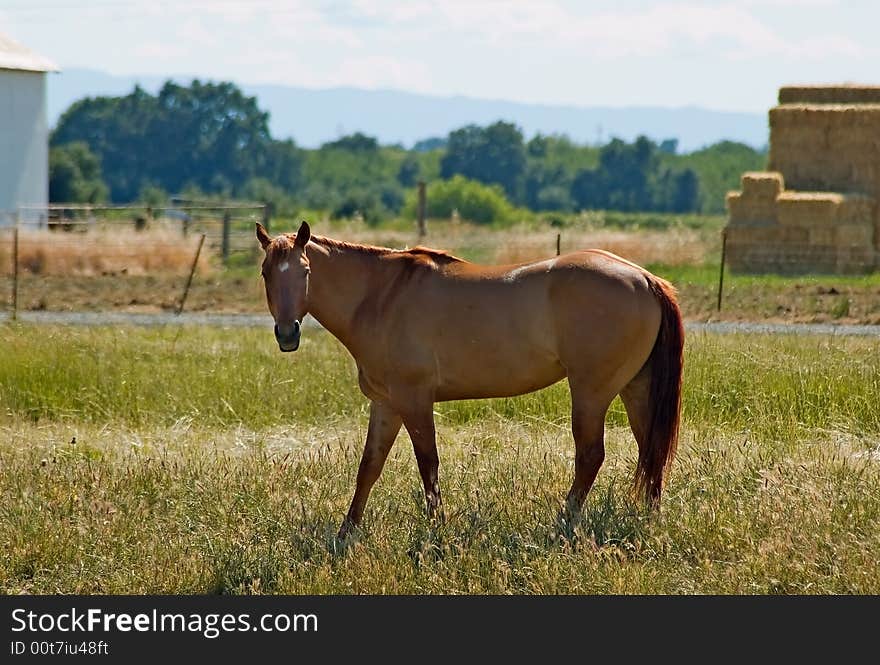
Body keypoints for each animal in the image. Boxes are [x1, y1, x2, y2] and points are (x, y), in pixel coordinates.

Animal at [254, 220, 680, 536]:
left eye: (305, 271)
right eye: (265, 272)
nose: (287, 334)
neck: (381, 297)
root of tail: (645, 278)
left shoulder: (414, 400)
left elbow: (428, 464)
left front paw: (436, 531)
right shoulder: (386, 403)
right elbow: (369, 467)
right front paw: (347, 534)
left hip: (592, 392)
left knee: (591, 455)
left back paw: (564, 523)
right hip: (635, 388)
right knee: (651, 450)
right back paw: (647, 520)